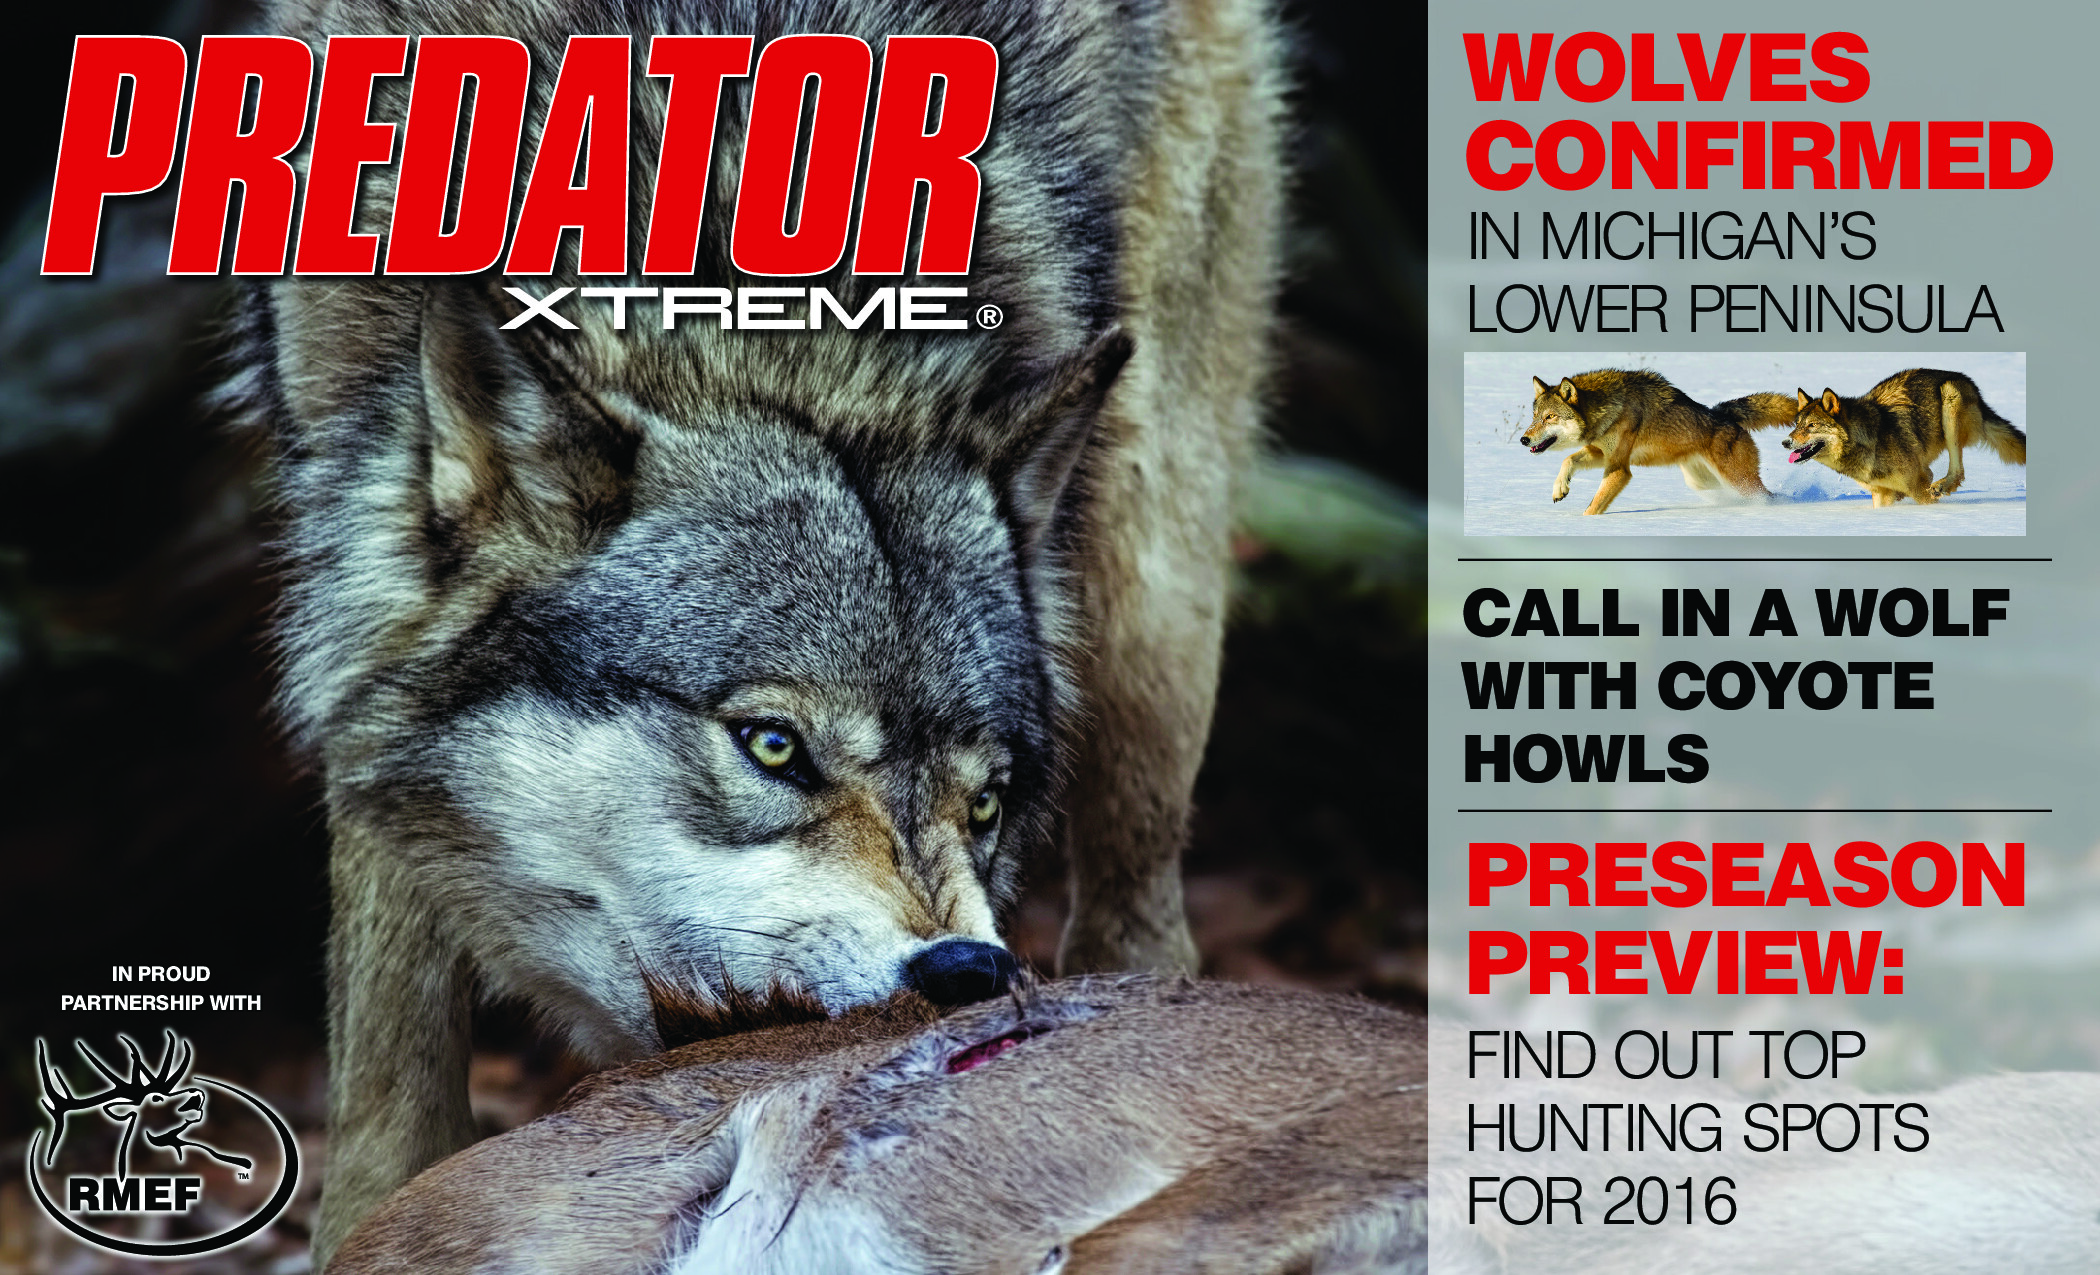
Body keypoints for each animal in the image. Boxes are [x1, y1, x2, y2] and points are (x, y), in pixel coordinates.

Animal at [227, 0, 1283, 1261]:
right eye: (774, 746)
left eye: (986, 804)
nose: (970, 969)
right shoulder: (365, 673)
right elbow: (389, 1118)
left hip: (1150, 583)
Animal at [1520, 371, 1795, 514]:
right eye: (1534, 417)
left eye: (1549, 417)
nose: (1524, 439)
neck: (1610, 408)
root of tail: (1722, 413)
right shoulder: (1602, 453)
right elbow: (1568, 460)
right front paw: (1560, 489)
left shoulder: (1620, 469)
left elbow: (1593, 506)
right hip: (1702, 482)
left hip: (1737, 480)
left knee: (1765, 495)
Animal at [1784, 371, 2026, 506]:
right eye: (1797, 425)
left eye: (1811, 426)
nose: (1785, 442)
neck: (1869, 443)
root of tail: (1970, 384)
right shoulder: (1881, 494)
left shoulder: (1917, 486)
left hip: (1949, 399)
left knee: (1957, 470)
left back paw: (1942, 486)